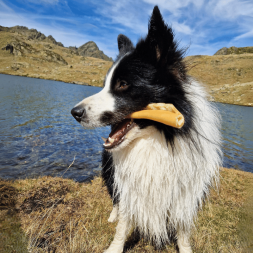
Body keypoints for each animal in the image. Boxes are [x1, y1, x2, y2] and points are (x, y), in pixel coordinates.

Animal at [71, 5, 221, 253]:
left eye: (123, 84)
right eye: (105, 85)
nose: (75, 112)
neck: (157, 140)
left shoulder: (184, 193)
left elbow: (182, 230)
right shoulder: (131, 186)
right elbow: (123, 224)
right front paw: (114, 247)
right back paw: (113, 213)